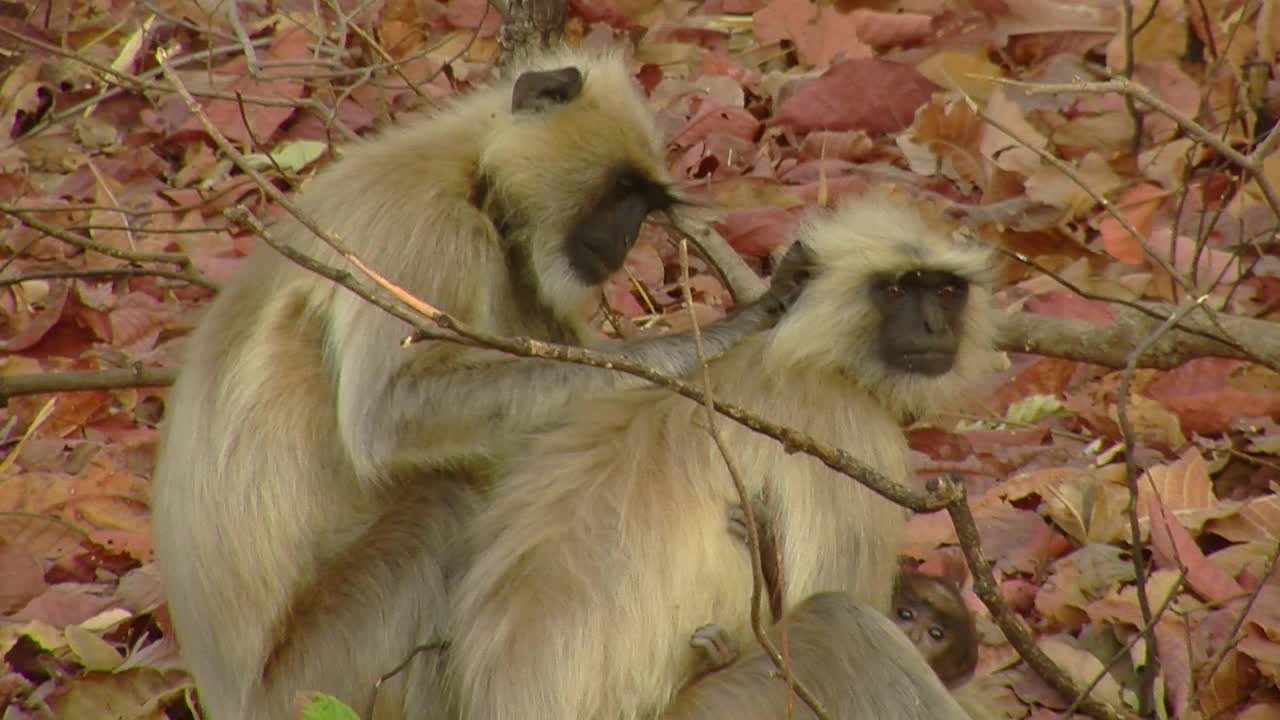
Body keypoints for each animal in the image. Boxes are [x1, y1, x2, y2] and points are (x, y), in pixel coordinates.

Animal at [147, 46, 788, 717]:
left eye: (642, 206)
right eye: (620, 193)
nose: (626, 237)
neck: (473, 173)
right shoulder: (429, 228)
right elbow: (391, 415)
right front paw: (701, 344)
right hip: (318, 676)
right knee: (442, 503)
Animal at [450, 189, 998, 717]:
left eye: (946, 291)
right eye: (895, 290)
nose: (932, 327)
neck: (807, 353)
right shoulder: (850, 424)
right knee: (841, 620)